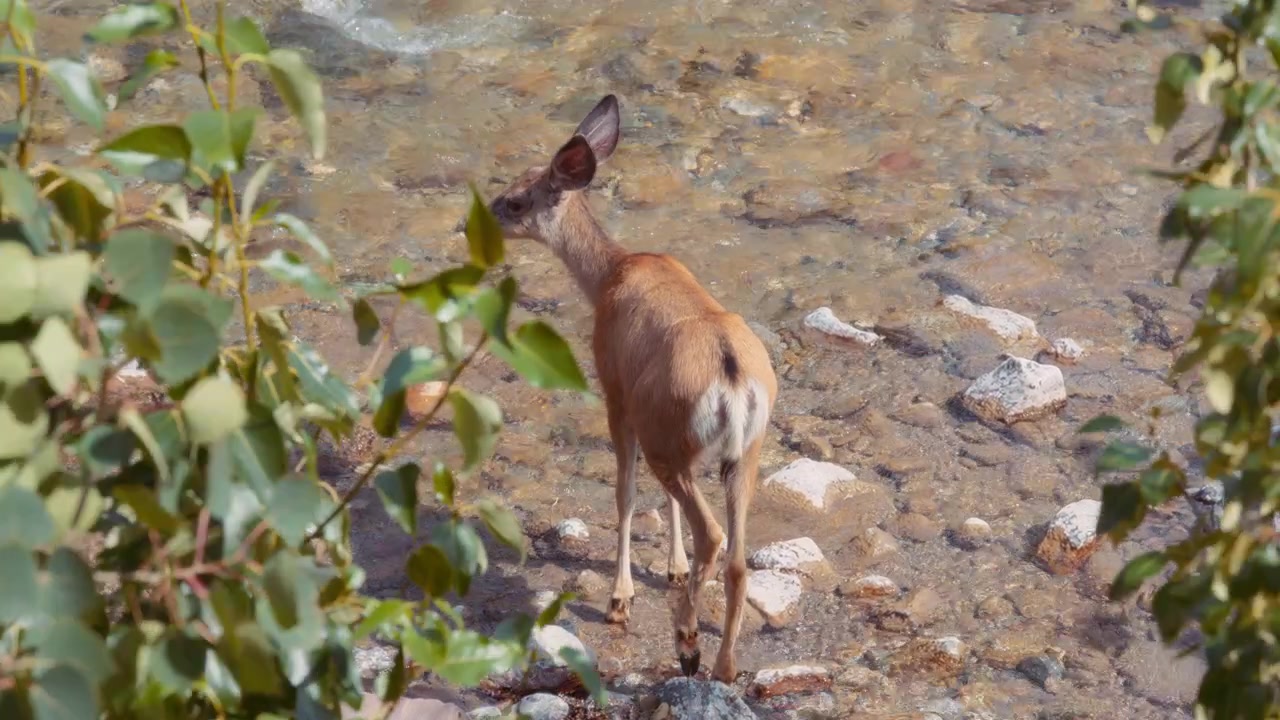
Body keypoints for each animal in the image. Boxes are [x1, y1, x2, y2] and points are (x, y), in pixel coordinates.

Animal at [461, 94, 778, 683]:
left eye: (514, 199)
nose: (472, 223)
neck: (609, 273)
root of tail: (732, 378)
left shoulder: (615, 391)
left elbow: (625, 495)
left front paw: (620, 598)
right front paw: (671, 568)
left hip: (668, 439)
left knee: (713, 535)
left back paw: (687, 644)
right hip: (740, 450)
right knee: (738, 559)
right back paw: (723, 667)